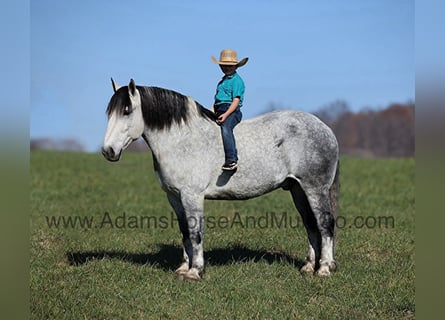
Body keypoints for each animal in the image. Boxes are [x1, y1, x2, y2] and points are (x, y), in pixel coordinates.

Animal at [102, 78, 338, 280]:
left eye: (126, 111)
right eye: (109, 112)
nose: (108, 151)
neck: (181, 140)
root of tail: (326, 129)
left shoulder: (192, 196)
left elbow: (196, 232)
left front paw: (195, 271)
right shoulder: (174, 197)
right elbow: (185, 231)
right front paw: (183, 268)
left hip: (315, 189)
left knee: (325, 224)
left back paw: (324, 268)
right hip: (298, 190)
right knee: (311, 225)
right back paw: (309, 266)